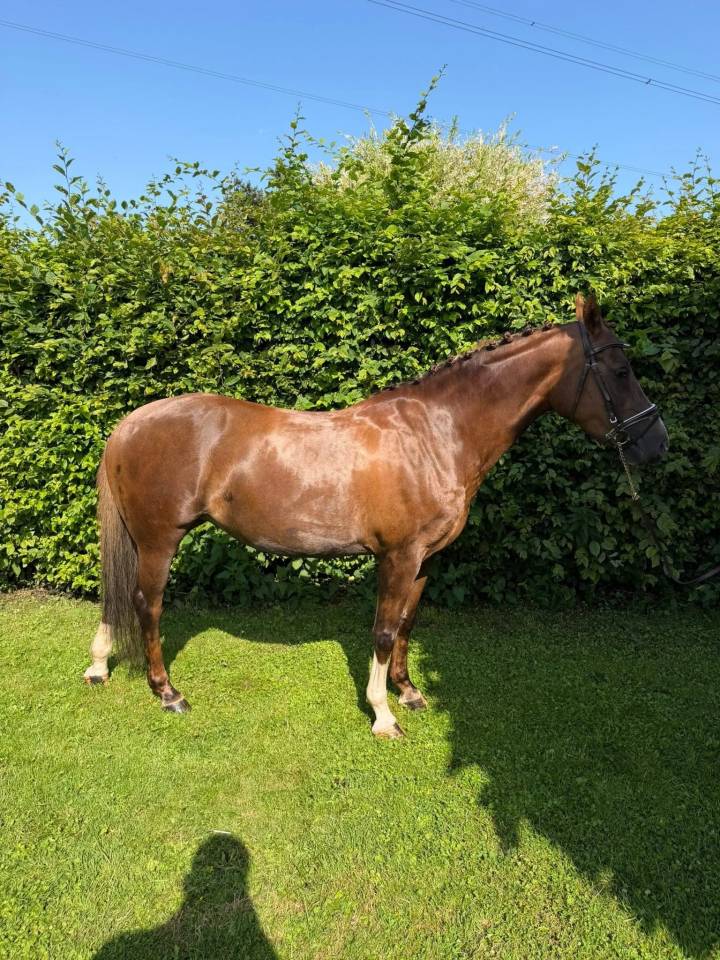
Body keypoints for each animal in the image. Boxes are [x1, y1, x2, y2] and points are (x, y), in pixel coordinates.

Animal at [84, 293, 668, 738]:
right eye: (621, 370)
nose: (656, 443)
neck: (436, 434)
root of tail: (130, 423)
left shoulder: (425, 559)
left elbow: (407, 622)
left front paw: (408, 692)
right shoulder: (398, 556)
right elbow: (384, 631)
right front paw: (384, 715)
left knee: (118, 597)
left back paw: (99, 666)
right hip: (160, 540)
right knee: (147, 604)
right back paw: (168, 692)